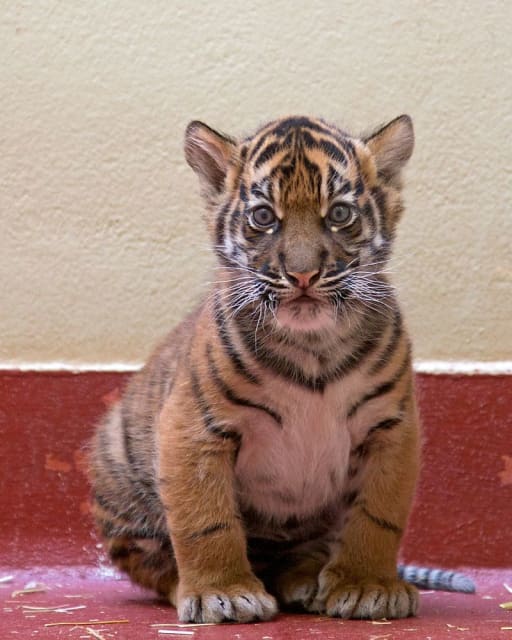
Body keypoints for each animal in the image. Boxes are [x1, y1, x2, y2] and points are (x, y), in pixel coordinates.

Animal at [88, 114, 474, 624]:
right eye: (264, 217)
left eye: (339, 214)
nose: (304, 275)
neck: (313, 347)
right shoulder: (194, 428)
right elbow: (205, 522)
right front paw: (222, 595)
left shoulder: (392, 427)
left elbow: (377, 517)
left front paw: (367, 585)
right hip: (119, 477)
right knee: (156, 566)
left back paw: (307, 581)